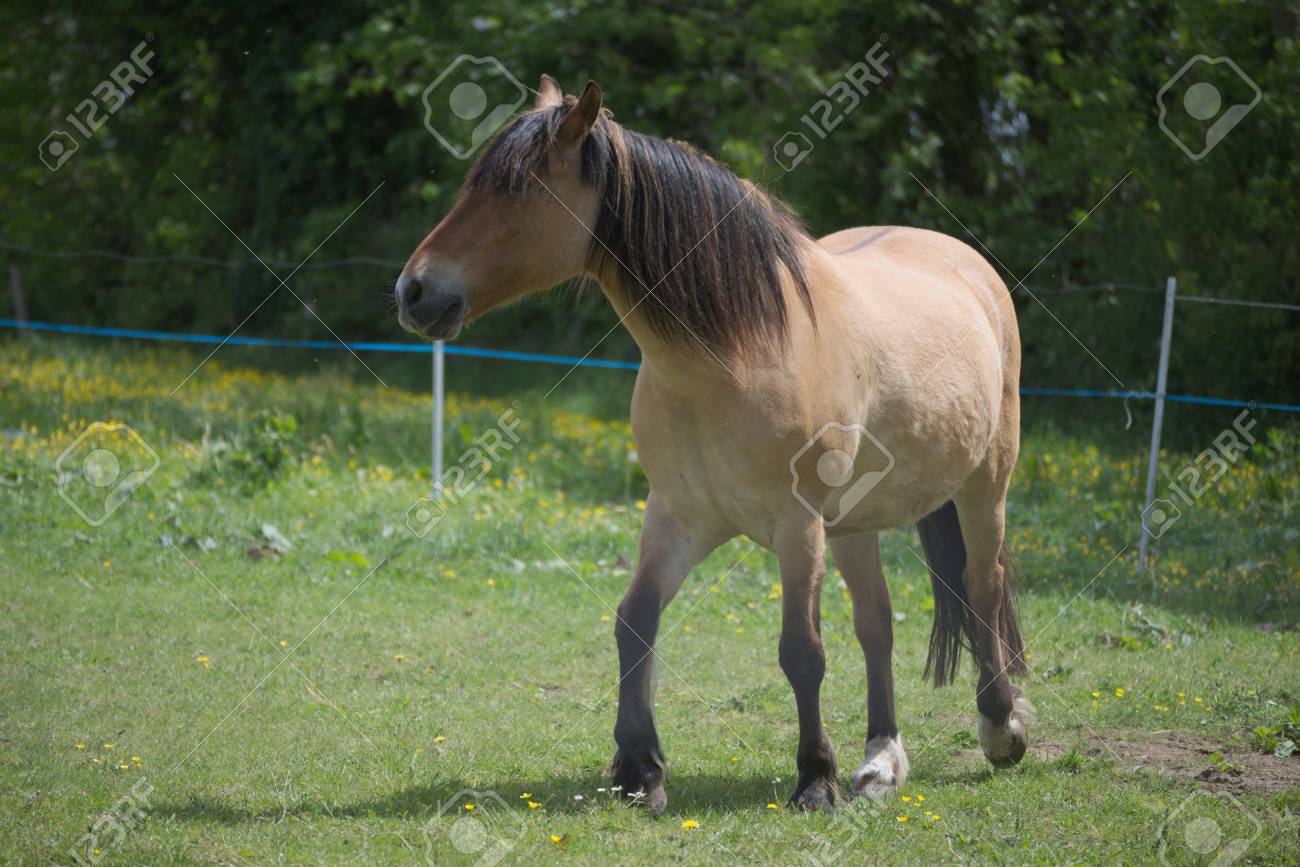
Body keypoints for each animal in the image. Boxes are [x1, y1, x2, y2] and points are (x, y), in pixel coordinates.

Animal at [395, 75, 1030, 813]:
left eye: (518, 190)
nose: (414, 290)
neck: (736, 354)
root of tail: (967, 264)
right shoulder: (679, 516)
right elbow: (634, 621)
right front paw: (639, 770)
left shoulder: (796, 526)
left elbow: (801, 651)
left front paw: (815, 777)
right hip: (853, 523)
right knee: (877, 622)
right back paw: (880, 760)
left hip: (983, 486)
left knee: (981, 588)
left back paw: (1000, 728)